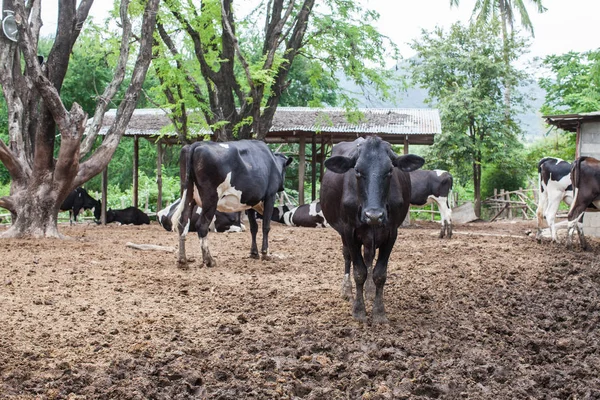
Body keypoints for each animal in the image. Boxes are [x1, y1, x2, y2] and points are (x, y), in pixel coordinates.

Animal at [173, 139, 292, 268]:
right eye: (285, 169)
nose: (282, 187)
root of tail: (196, 145)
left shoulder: (251, 201)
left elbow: (253, 227)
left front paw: (254, 253)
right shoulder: (270, 195)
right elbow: (266, 226)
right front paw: (265, 253)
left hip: (188, 195)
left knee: (183, 222)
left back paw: (182, 260)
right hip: (210, 198)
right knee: (202, 226)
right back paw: (209, 260)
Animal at [322, 136, 424, 324]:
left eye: (390, 170)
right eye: (357, 170)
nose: (374, 215)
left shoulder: (391, 232)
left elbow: (379, 273)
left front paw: (378, 311)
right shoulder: (349, 231)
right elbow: (359, 271)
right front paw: (359, 310)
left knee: (369, 256)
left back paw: (369, 290)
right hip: (343, 232)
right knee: (347, 256)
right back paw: (347, 289)